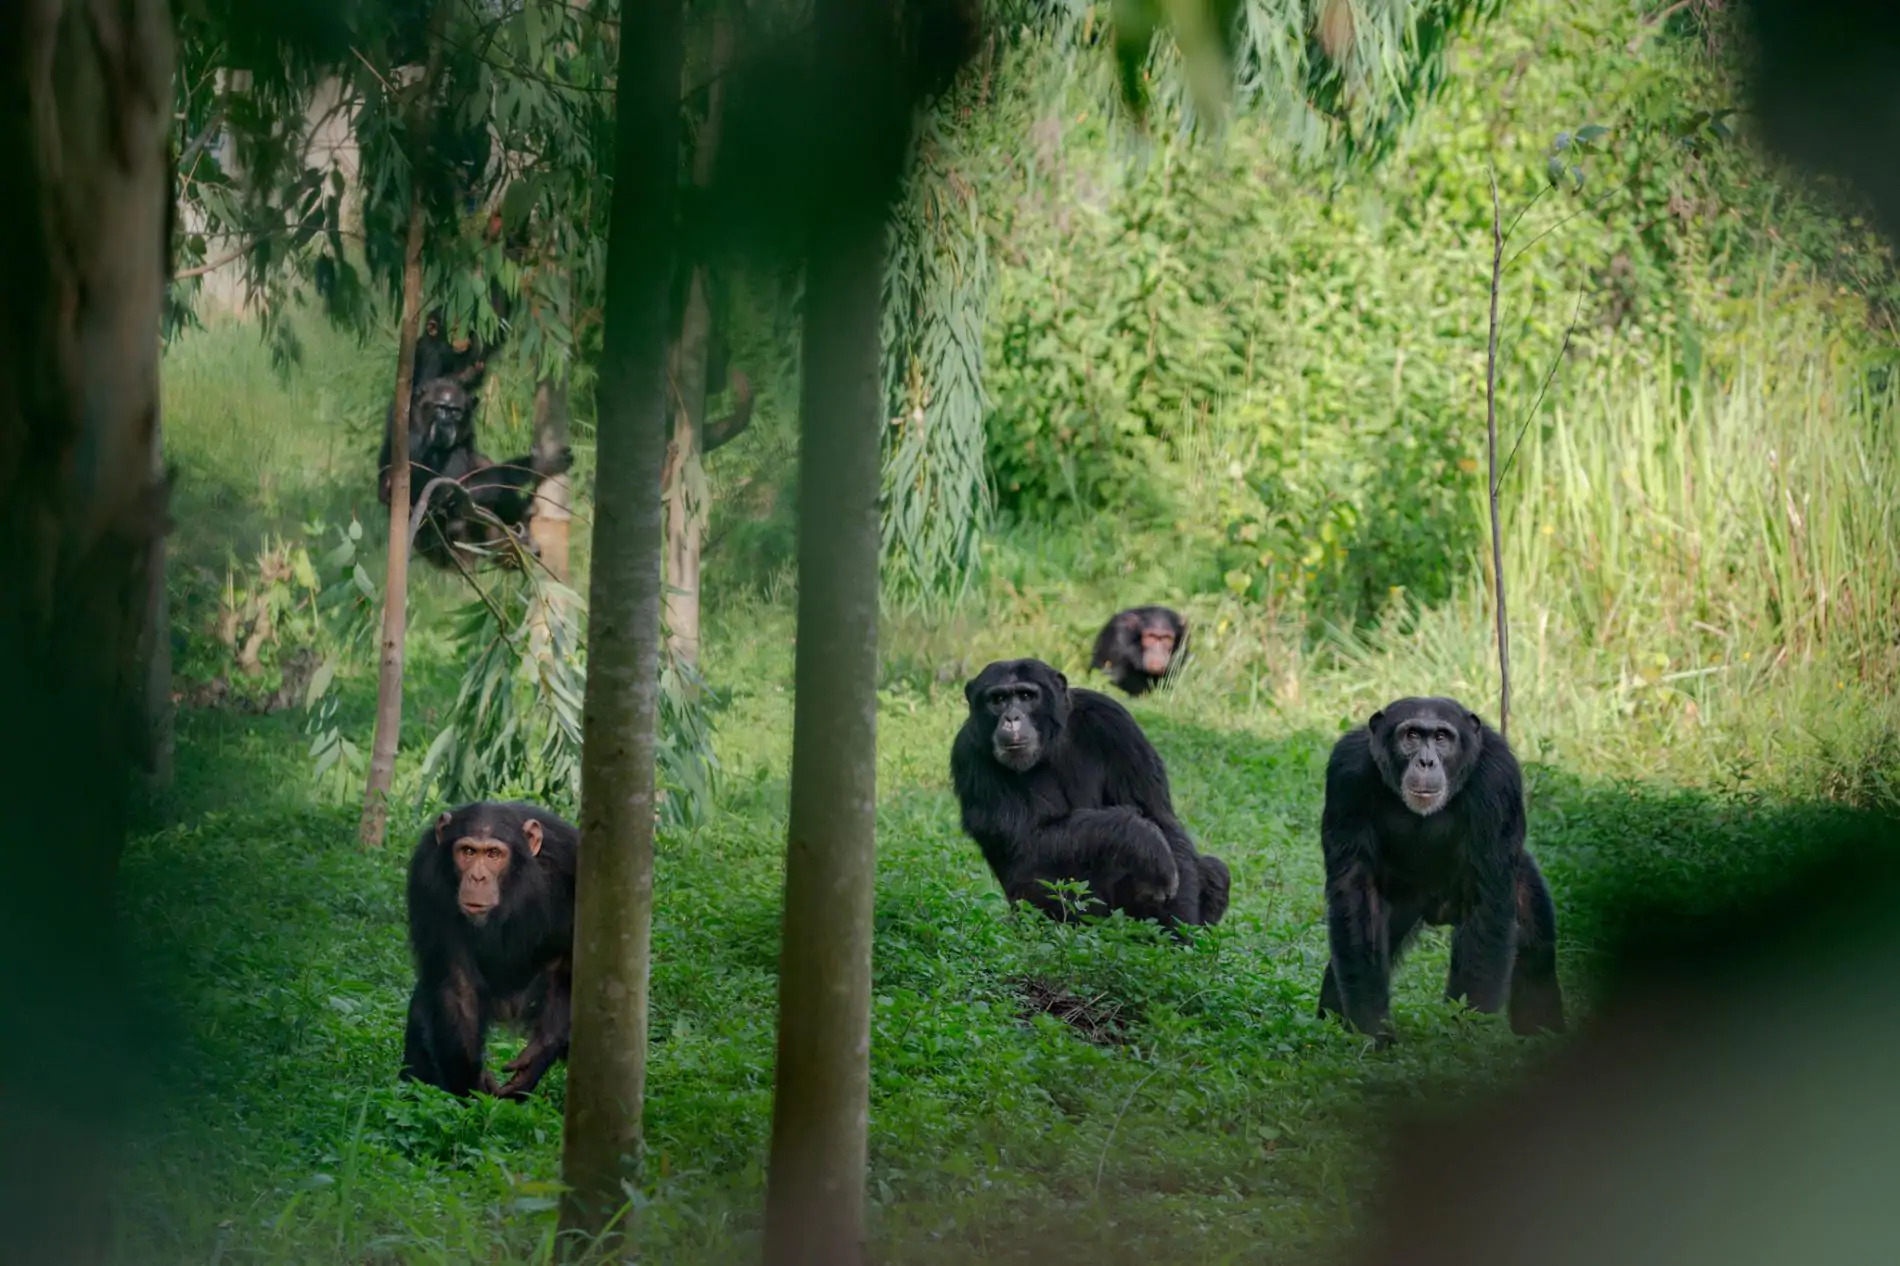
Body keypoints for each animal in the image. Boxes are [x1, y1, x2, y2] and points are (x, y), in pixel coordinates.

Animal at [400, 798, 577, 1094]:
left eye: (494, 854)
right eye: (468, 852)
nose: (478, 877)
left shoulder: (572, 863)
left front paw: (539, 1053)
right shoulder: (427, 878)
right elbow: (458, 985)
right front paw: (473, 1087)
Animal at [950, 653, 1231, 931]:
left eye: (1027, 696)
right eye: (997, 700)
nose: (1012, 718)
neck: (1051, 744)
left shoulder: (1115, 722)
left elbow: (1159, 816)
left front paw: (1178, 926)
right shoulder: (969, 752)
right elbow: (1025, 845)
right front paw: (1143, 840)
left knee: (1217, 871)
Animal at [1314, 695, 1565, 1041]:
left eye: (1442, 737)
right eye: (1412, 736)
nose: (1426, 762)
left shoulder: (1498, 778)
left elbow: (1486, 903)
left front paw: (1464, 1038)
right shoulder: (1347, 773)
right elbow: (1355, 893)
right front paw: (1372, 1031)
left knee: (1534, 951)